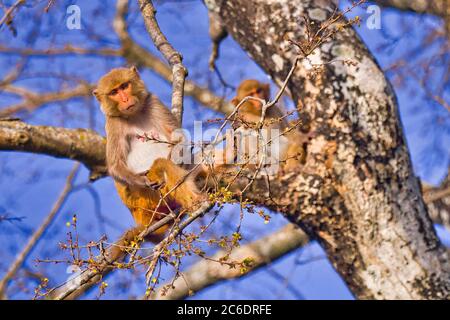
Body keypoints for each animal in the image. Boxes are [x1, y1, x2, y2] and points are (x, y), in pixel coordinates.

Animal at [94, 67, 205, 242]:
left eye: (124, 86)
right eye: (114, 92)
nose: (125, 99)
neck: (134, 114)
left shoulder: (154, 103)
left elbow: (179, 137)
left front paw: (175, 158)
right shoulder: (113, 123)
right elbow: (115, 165)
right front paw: (143, 180)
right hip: (147, 200)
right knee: (160, 166)